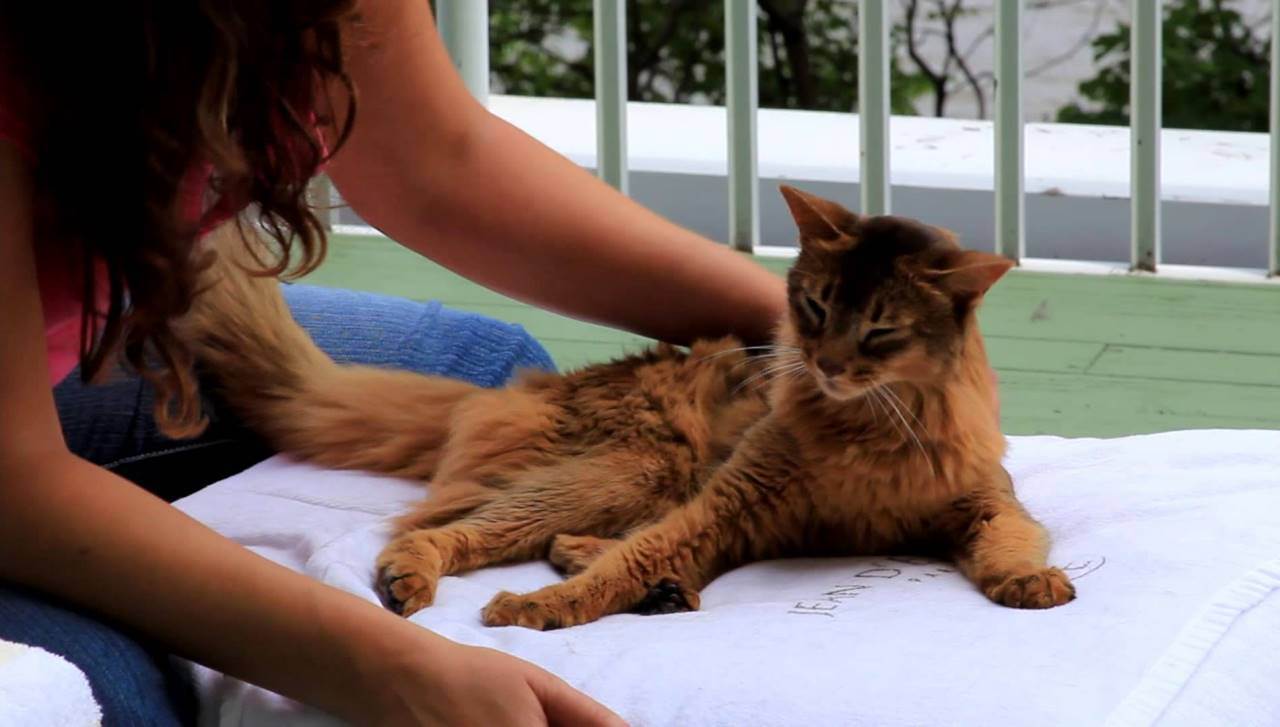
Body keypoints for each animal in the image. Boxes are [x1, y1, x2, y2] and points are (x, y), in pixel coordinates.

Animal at [182, 185, 1074, 629]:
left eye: (881, 331)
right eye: (815, 306)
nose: (822, 362)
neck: (867, 432)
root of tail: (530, 386)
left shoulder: (981, 501)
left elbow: (1011, 538)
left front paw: (1029, 580)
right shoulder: (734, 499)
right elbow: (636, 557)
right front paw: (538, 610)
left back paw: (645, 583)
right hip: (635, 469)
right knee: (444, 527)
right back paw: (422, 573)